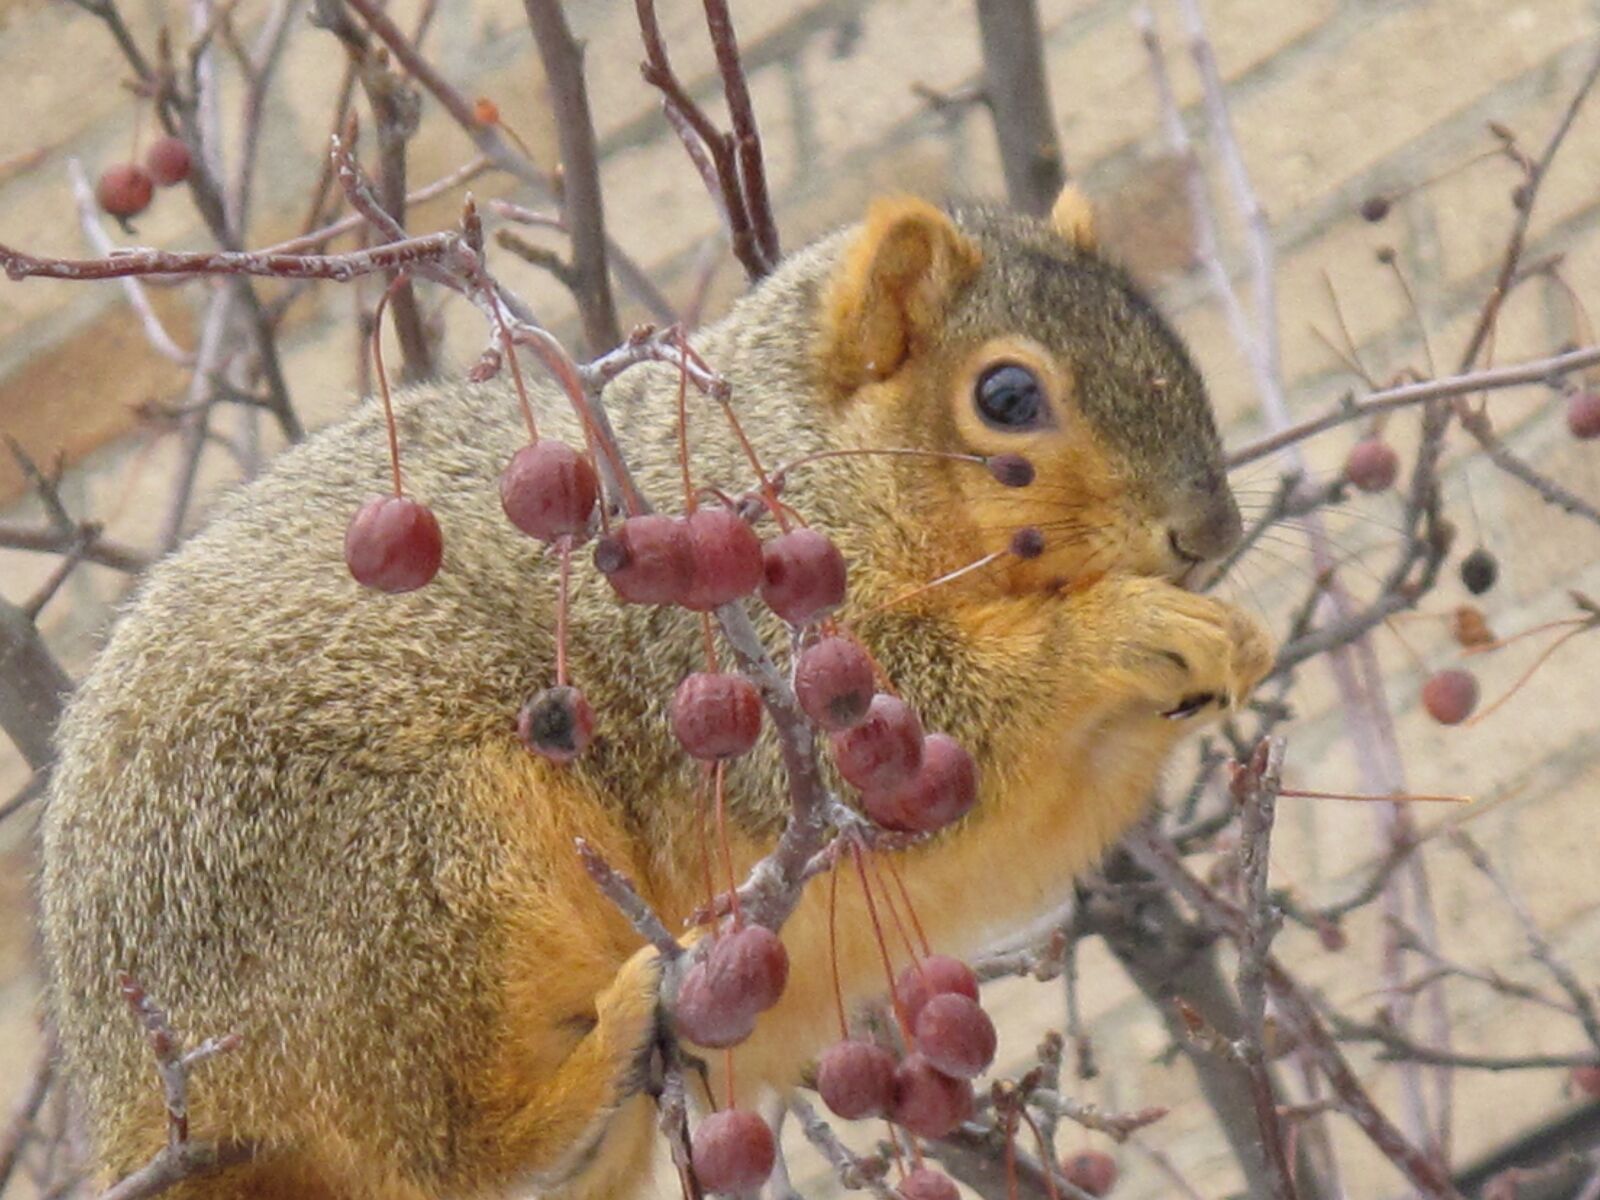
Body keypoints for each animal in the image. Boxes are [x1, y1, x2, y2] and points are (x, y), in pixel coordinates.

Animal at [37, 188, 1273, 1200]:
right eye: (1007, 395)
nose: (1210, 536)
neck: (819, 457)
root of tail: (129, 1086)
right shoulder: (739, 656)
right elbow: (935, 715)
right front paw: (1124, 629)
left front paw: (1237, 642)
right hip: (416, 865)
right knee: (445, 1147)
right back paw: (583, 1078)